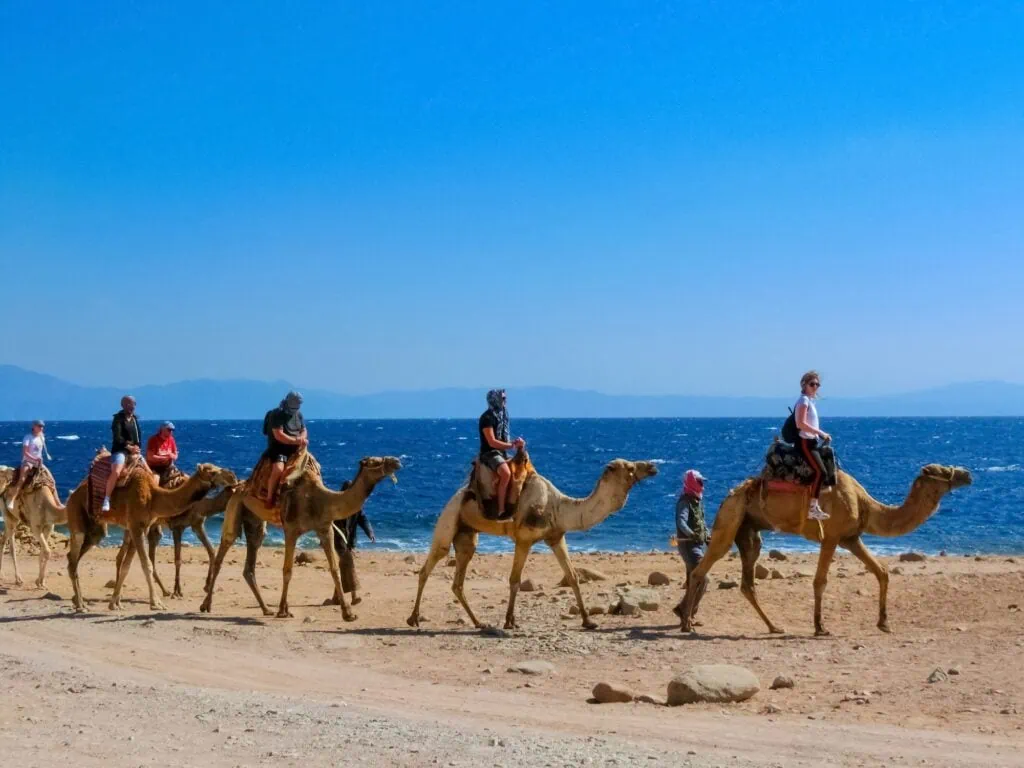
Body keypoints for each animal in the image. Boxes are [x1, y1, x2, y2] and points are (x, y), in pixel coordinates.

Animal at [65, 462, 236, 612]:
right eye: (212, 472)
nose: (232, 476)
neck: (154, 497)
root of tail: (72, 495)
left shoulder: (143, 527)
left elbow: (128, 566)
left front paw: (114, 604)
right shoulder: (139, 526)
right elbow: (147, 564)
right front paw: (157, 603)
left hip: (96, 530)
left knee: (74, 558)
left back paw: (80, 602)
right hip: (77, 517)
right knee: (74, 559)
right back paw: (81, 605)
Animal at [199, 456, 402, 621]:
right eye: (375, 461)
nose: (397, 461)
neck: (322, 499)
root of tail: (239, 486)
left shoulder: (324, 528)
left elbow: (334, 569)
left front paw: (348, 614)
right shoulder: (291, 529)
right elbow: (288, 570)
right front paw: (283, 610)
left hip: (254, 520)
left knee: (250, 560)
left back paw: (265, 609)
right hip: (235, 506)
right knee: (223, 550)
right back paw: (205, 605)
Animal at [407, 453, 659, 631]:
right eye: (630, 467)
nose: (652, 466)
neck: (558, 506)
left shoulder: (556, 537)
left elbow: (573, 577)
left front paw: (588, 622)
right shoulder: (524, 539)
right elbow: (515, 580)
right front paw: (509, 622)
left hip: (467, 534)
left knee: (458, 579)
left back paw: (479, 623)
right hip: (448, 518)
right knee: (429, 566)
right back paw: (413, 619)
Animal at [680, 463, 972, 636]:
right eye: (942, 470)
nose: (967, 474)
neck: (865, 504)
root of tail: (729, 495)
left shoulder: (851, 538)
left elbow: (882, 571)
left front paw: (884, 623)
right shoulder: (831, 537)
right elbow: (820, 581)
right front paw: (820, 627)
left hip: (749, 529)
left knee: (747, 581)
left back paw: (774, 626)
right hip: (730, 520)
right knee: (702, 568)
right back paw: (687, 624)